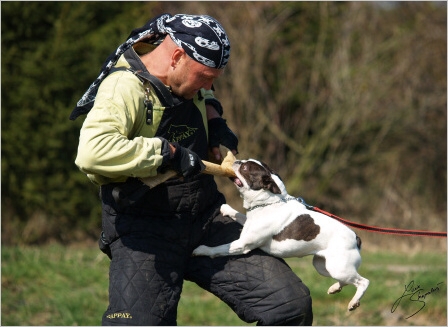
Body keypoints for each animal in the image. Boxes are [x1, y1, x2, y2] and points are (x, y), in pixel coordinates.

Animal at [193, 159, 372, 312]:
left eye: (245, 168)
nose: (237, 160)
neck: (269, 201)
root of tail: (356, 238)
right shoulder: (248, 223)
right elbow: (239, 215)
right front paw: (226, 209)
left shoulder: (242, 245)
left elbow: (217, 249)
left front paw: (201, 250)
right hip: (323, 266)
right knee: (347, 281)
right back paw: (335, 288)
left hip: (339, 267)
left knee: (363, 281)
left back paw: (354, 302)